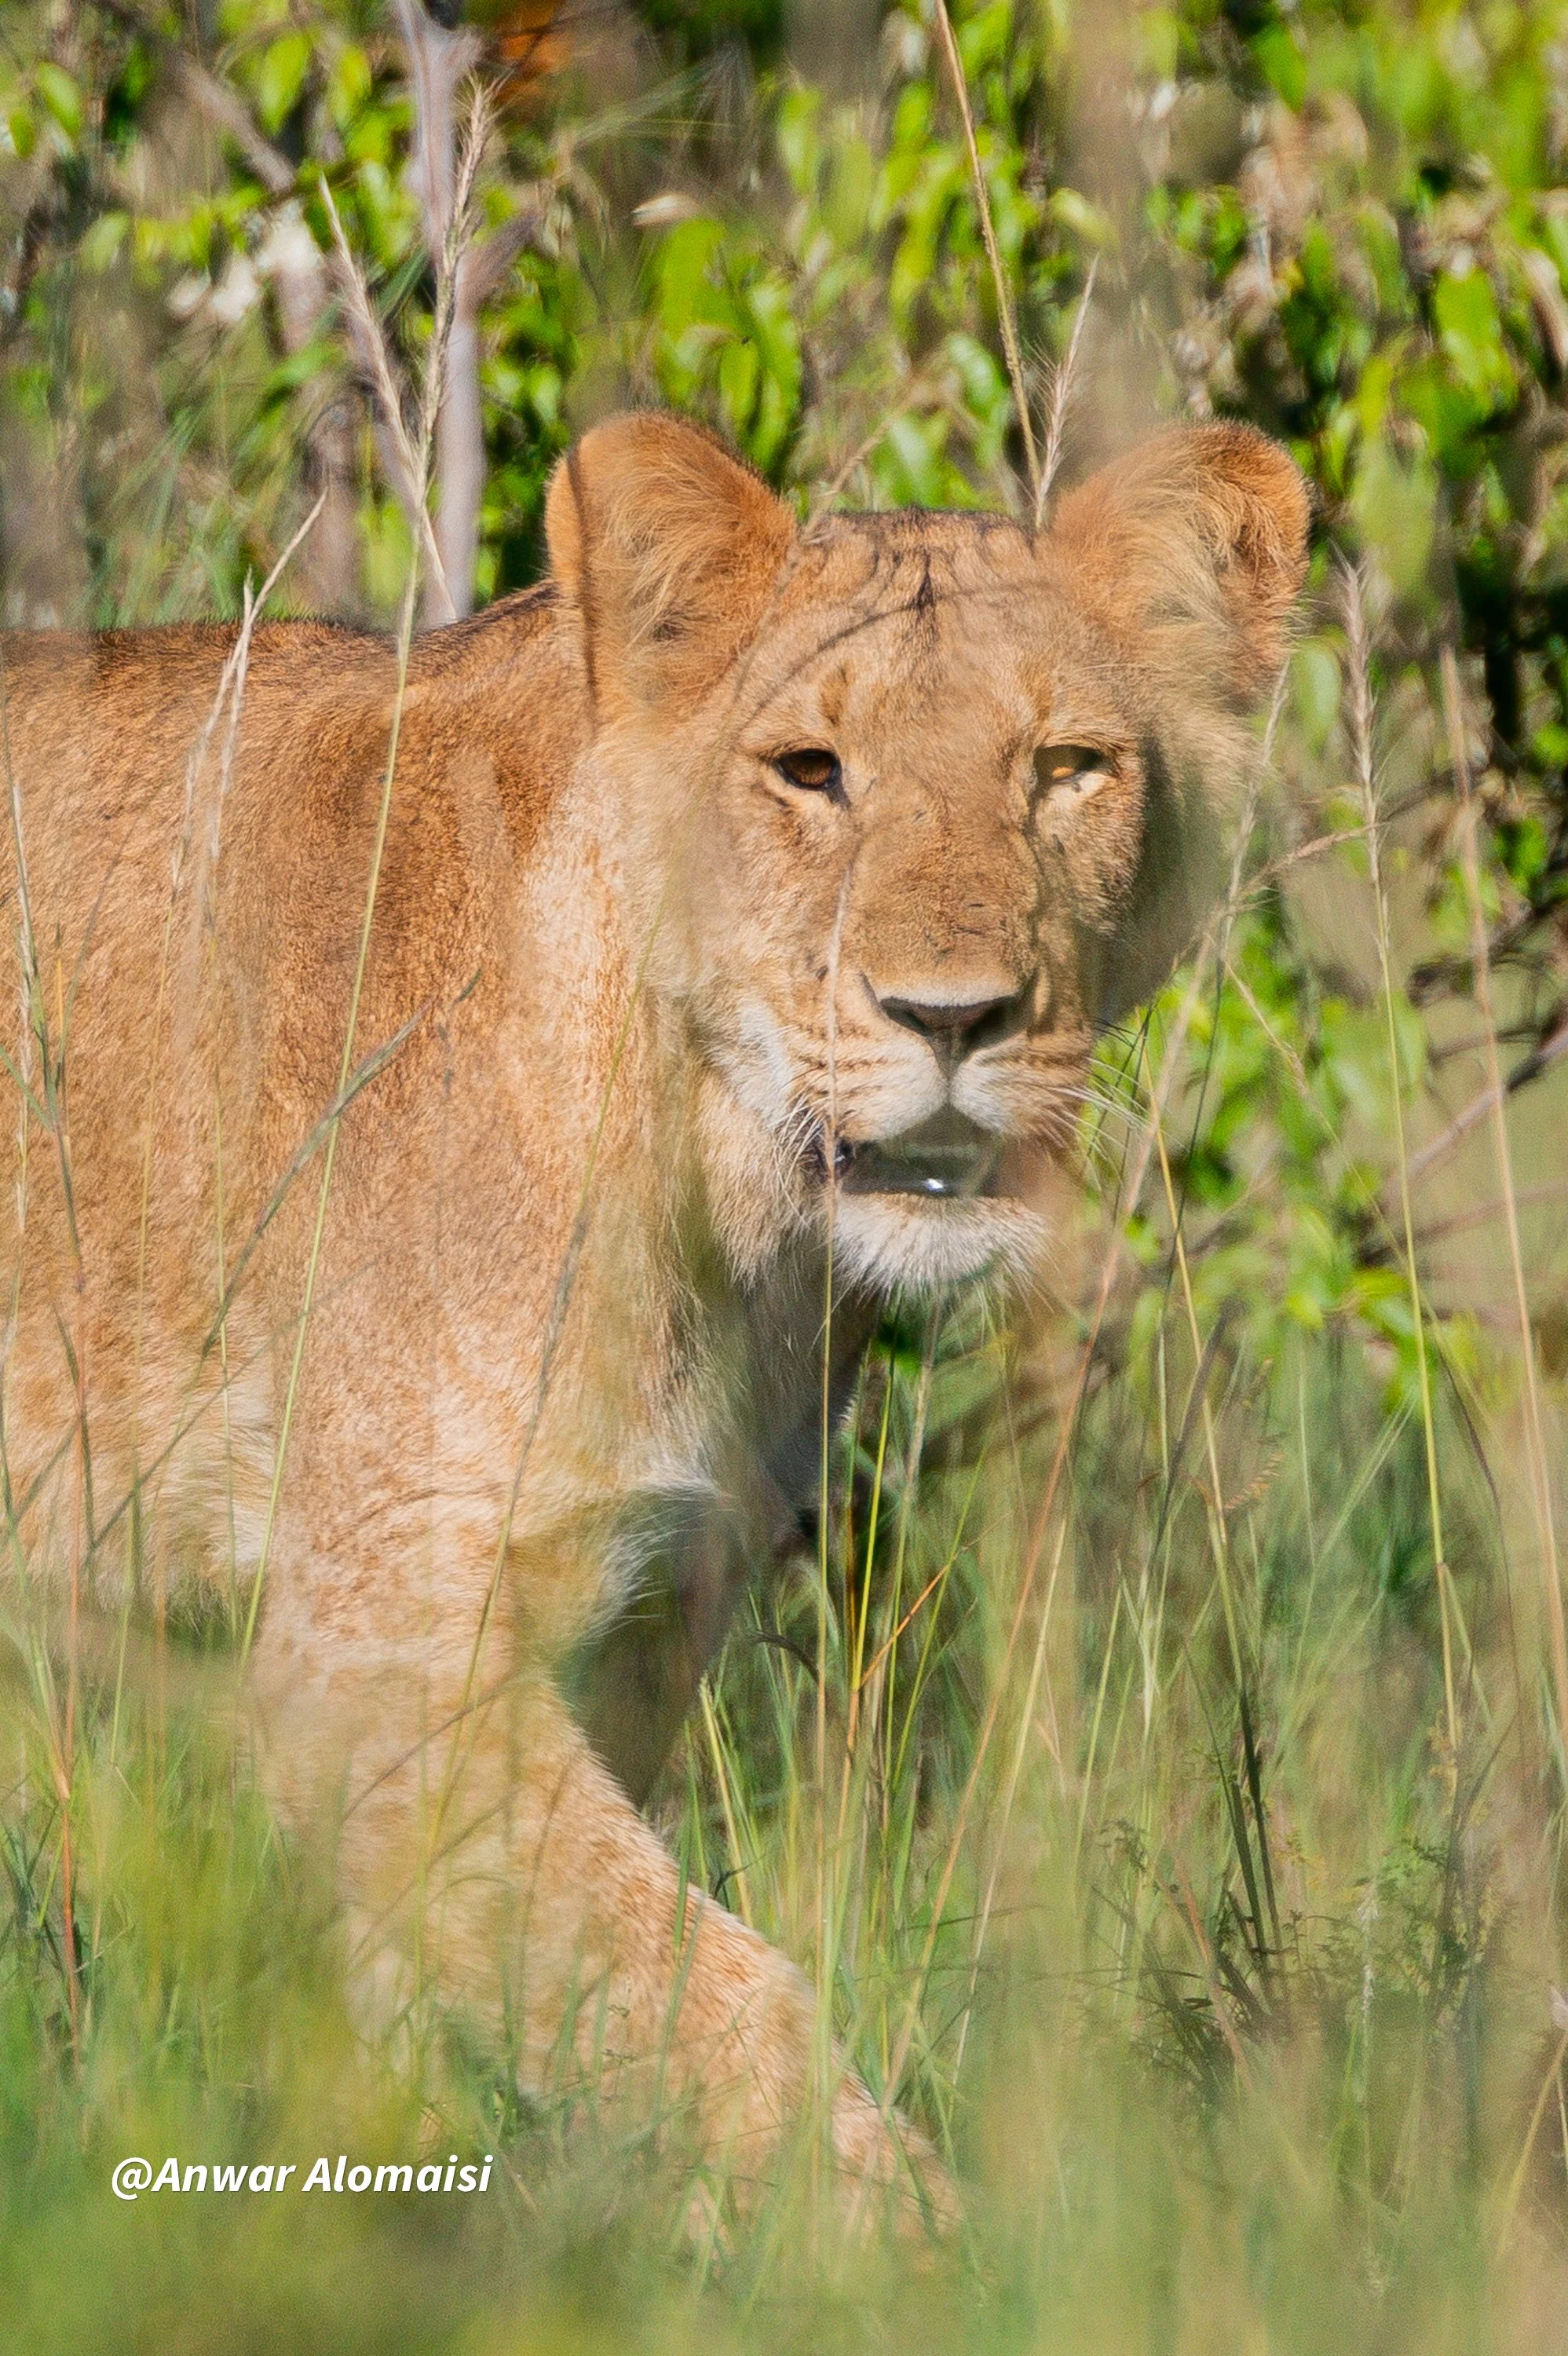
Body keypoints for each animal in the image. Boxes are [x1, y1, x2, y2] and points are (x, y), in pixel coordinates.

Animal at [0, 409, 1306, 2223]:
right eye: (808, 772)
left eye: (1065, 769)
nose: (951, 1018)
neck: (722, 1200)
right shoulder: (375, 1649)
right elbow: (702, 1989)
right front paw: (908, 2241)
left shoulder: (635, 1611)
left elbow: (535, 1990)